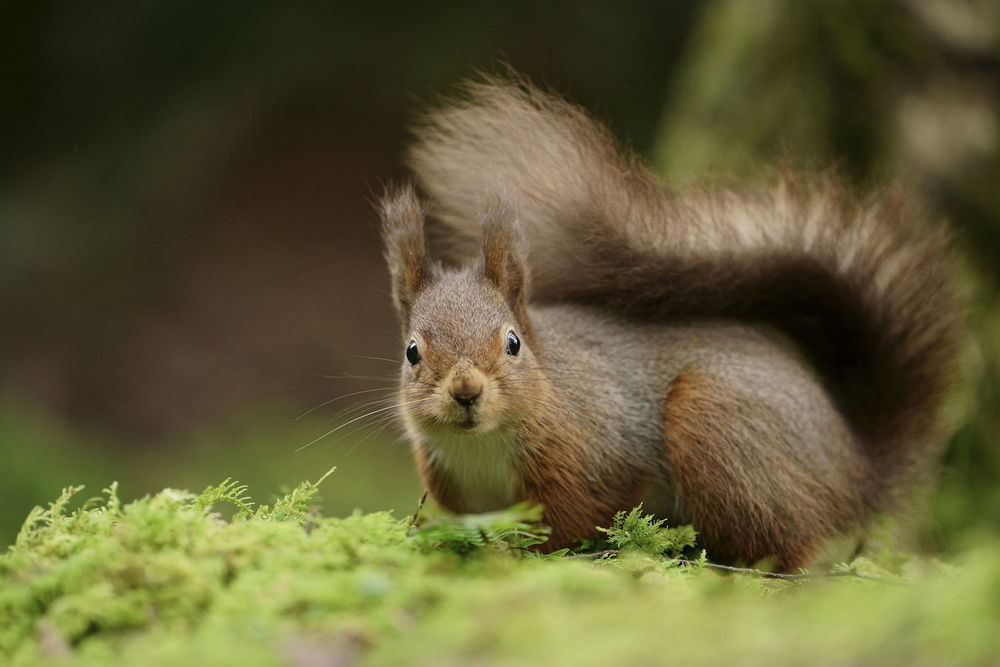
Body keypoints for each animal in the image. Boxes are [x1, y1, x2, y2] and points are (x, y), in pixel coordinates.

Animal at [377, 76, 961, 569]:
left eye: (514, 343)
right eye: (412, 352)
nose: (466, 391)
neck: (484, 446)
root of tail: (855, 466)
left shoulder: (599, 458)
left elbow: (574, 525)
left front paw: (528, 557)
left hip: (718, 427)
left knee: (791, 549)